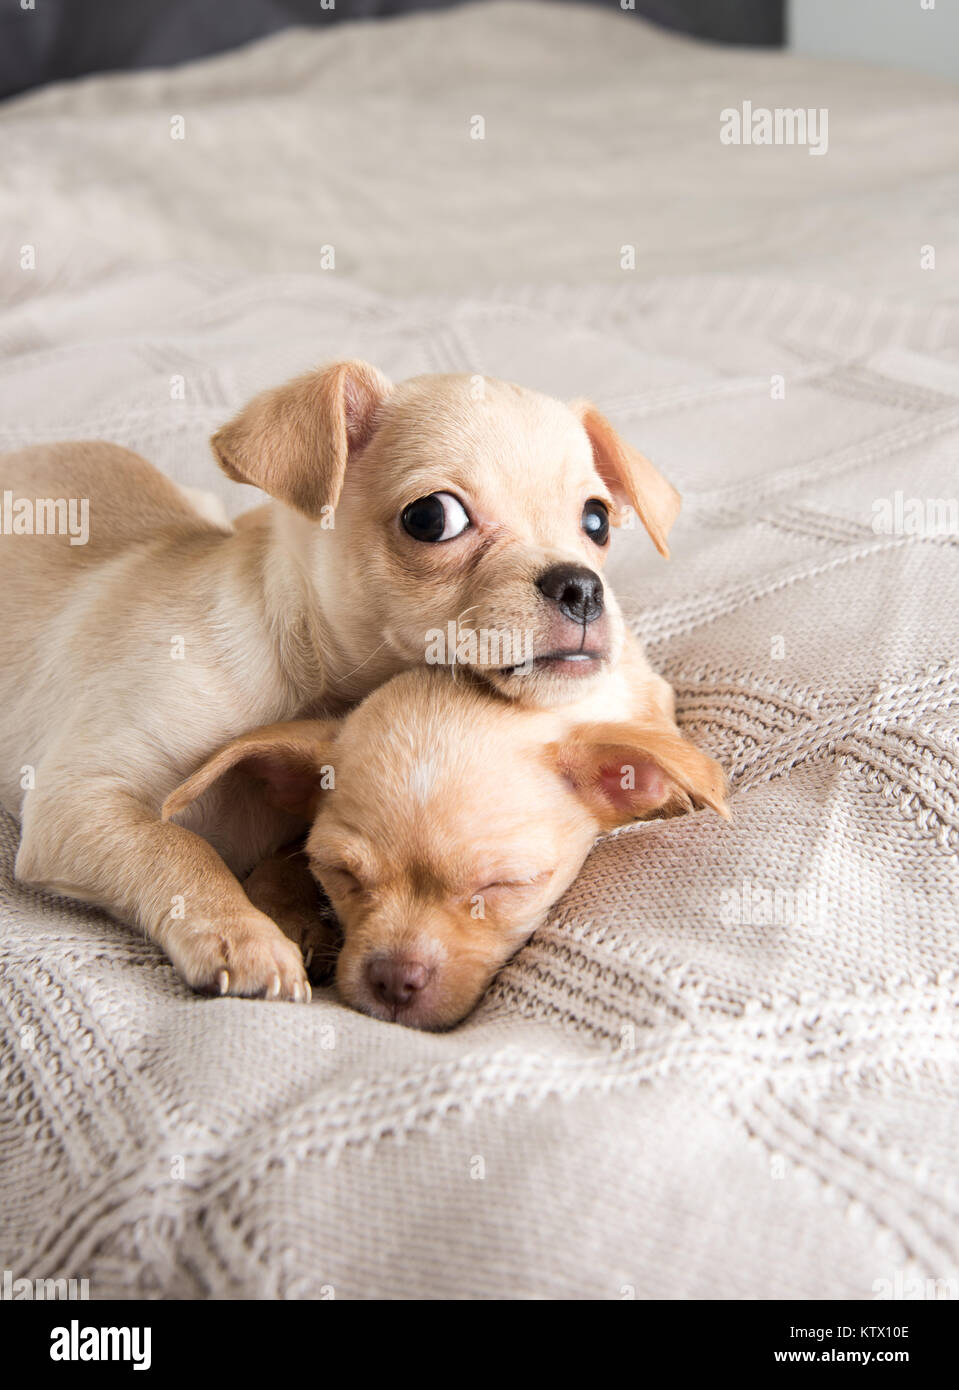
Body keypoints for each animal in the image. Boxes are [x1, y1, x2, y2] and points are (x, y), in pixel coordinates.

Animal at [0, 358, 692, 995]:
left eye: (597, 521)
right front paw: (243, 936)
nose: (583, 587)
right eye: (432, 518)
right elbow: (175, 847)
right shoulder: (76, 802)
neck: (308, 681)